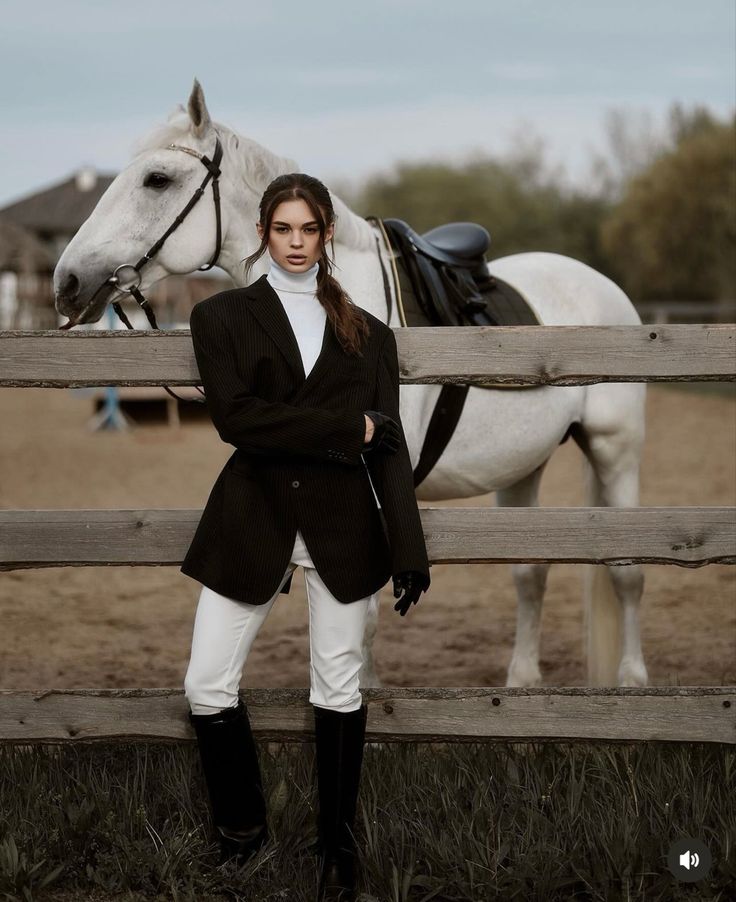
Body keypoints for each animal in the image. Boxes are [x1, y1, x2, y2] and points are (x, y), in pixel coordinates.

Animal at [54, 83, 648, 692]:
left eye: (158, 179)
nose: (67, 281)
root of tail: (602, 286)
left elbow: (360, 615)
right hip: (523, 467)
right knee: (531, 570)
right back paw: (523, 681)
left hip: (615, 450)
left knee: (627, 574)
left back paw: (632, 679)